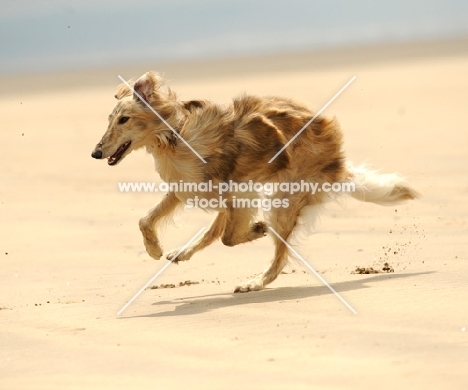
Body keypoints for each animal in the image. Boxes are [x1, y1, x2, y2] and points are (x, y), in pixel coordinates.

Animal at [89, 72, 418, 292]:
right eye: (110, 119)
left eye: (124, 120)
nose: (95, 153)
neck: (174, 137)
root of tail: (337, 161)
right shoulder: (188, 188)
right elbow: (146, 220)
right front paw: (154, 249)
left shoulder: (239, 192)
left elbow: (228, 236)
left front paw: (257, 229)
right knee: (218, 233)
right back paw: (184, 251)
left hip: (284, 200)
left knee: (277, 254)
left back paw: (257, 280)